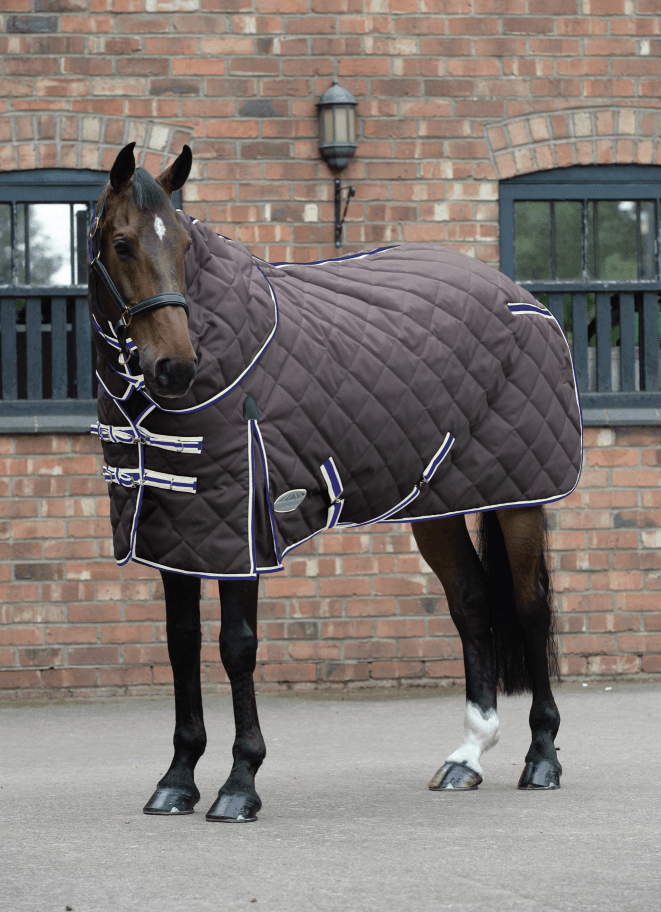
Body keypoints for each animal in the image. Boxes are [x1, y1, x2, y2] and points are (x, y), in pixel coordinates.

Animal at [86, 142, 582, 821]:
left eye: (184, 244)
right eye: (123, 244)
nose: (176, 367)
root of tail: (521, 297)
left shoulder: (243, 529)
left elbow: (236, 645)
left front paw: (239, 783)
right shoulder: (177, 530)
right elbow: (181, 644)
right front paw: (177, 780)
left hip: (520, 499)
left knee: (531, 607)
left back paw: (543, 758)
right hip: (435, 506)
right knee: (472, 602)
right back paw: (468, 757)